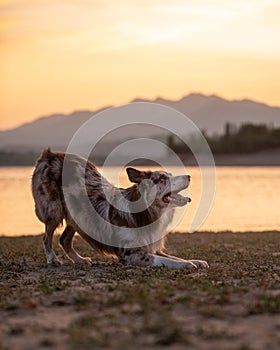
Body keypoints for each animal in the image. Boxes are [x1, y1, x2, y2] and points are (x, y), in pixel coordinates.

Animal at [32, 148, 208, 270]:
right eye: (163, 178)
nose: (189, 176)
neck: (147, 213)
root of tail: (49, 155)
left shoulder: (151, 247)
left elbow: (175, 257)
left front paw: (196, 261)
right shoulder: (132, 254)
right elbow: (168, 260)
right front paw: (187, 265)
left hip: (77, 216)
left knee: (64, 239)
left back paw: (80, 260)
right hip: (54, 210)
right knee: (46, 237)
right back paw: (53, 259)